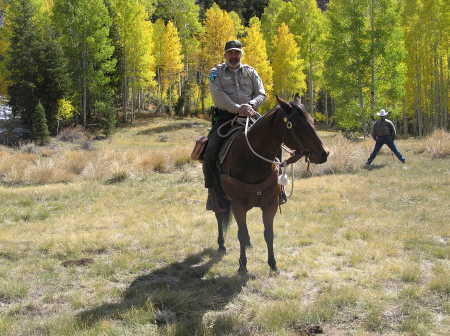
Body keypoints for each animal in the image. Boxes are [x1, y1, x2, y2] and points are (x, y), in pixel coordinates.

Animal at [214, 94, 326, 272]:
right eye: (294, 125)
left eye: (312, 120)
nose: (324, 154)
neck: (251, 159)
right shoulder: (238, 205)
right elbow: (240, 233)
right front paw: (242, 265)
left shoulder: (270, 205)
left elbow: (268, 234)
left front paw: (273, 264)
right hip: (217, 195)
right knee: (219, 215)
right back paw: (221, 245)